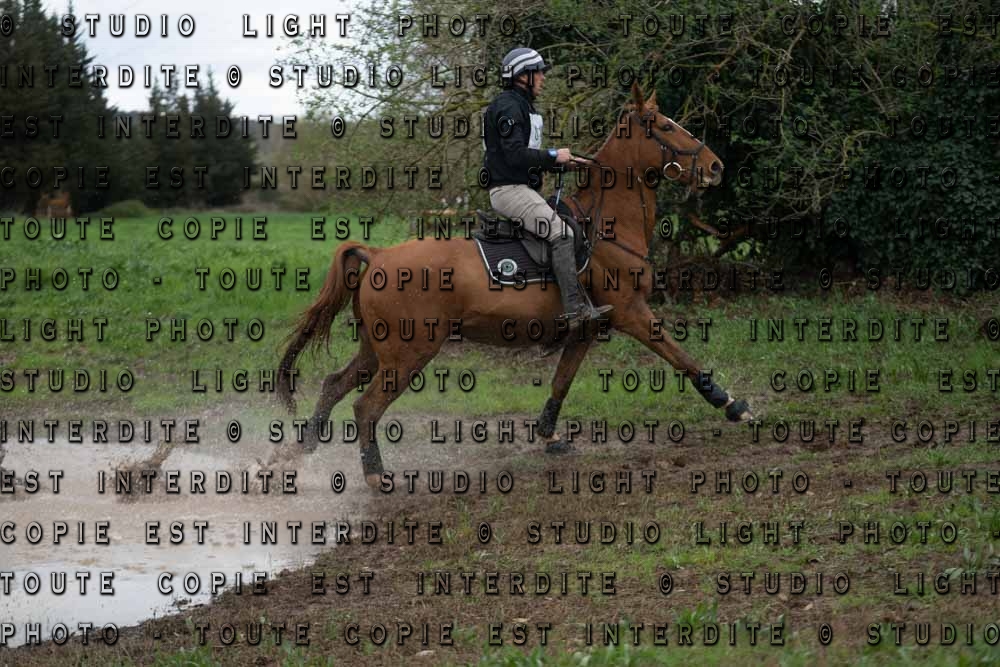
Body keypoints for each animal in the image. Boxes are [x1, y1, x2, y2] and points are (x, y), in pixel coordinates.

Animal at [276, 81, 753, 488]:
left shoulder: (587, 327)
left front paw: (547, 435)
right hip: (408, 353)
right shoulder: (633, 313)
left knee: (333, 385)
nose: (715, 166)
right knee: (365, 405)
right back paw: (375, 474)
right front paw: (733, 405)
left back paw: (299, 451)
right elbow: (682, 357)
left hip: (377, 349)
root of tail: (378, 255)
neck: (607, 227)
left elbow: (561, 381)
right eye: (666, 126)